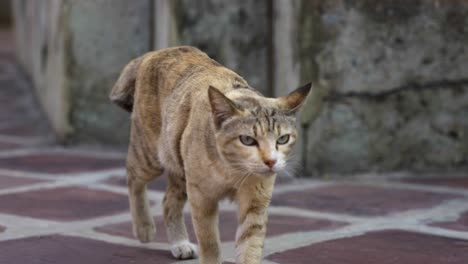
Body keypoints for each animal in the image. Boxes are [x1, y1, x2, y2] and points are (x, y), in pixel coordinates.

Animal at [109, 46, 310, 262]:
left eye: (283, 139)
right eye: (247, 140)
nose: (271, 161)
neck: (232, 170)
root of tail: (155, 52)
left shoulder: (256, 201)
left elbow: (250, 244)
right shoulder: (202, 198)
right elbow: (210, 242)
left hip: (181, 169)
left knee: (168, 200)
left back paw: (179, 243)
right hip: (151, 155)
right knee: (133, 177)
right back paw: (143, 226)